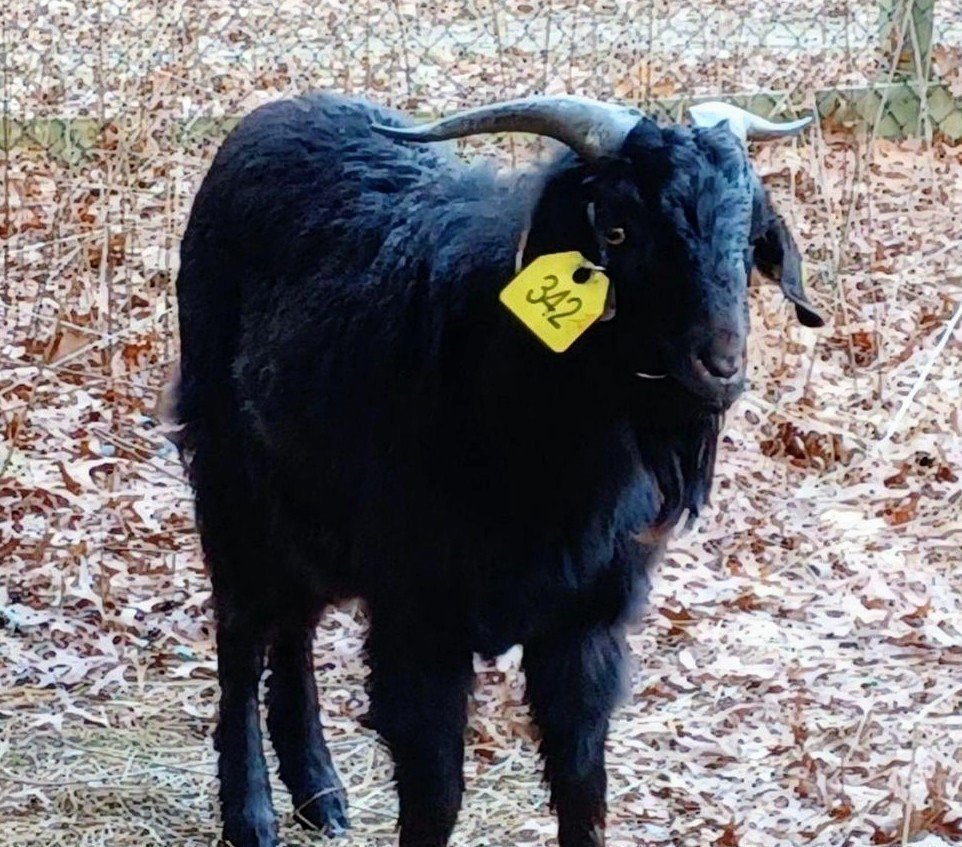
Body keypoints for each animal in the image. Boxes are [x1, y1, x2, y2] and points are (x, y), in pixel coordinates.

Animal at [172, 92, 823, 847]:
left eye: (748, 242)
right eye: (620, 231)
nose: (719, 366)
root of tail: (279, 110)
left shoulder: (586, 625)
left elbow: (581, 786)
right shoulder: (419, 620)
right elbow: (435, 796)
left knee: (294, 623)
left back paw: (322, 794)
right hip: (228, 476)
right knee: (241, 631)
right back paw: (251, 815)